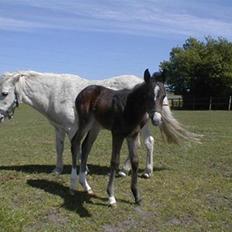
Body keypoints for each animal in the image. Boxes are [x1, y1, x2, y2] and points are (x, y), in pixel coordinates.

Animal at [70, 69, 166, 207]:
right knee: (75, 143)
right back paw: (73, 186)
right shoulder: (117, 134)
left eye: (164, 96)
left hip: (95, 126)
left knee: (86, 146)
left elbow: (135, 161)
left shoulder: (132, 135)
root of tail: (83, 91)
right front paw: (111, 196)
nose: (157, 119)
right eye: (147, 95)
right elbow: (114, 161)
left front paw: (136, 196)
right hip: (85, 123)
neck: (129, 108)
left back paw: (86, 187)